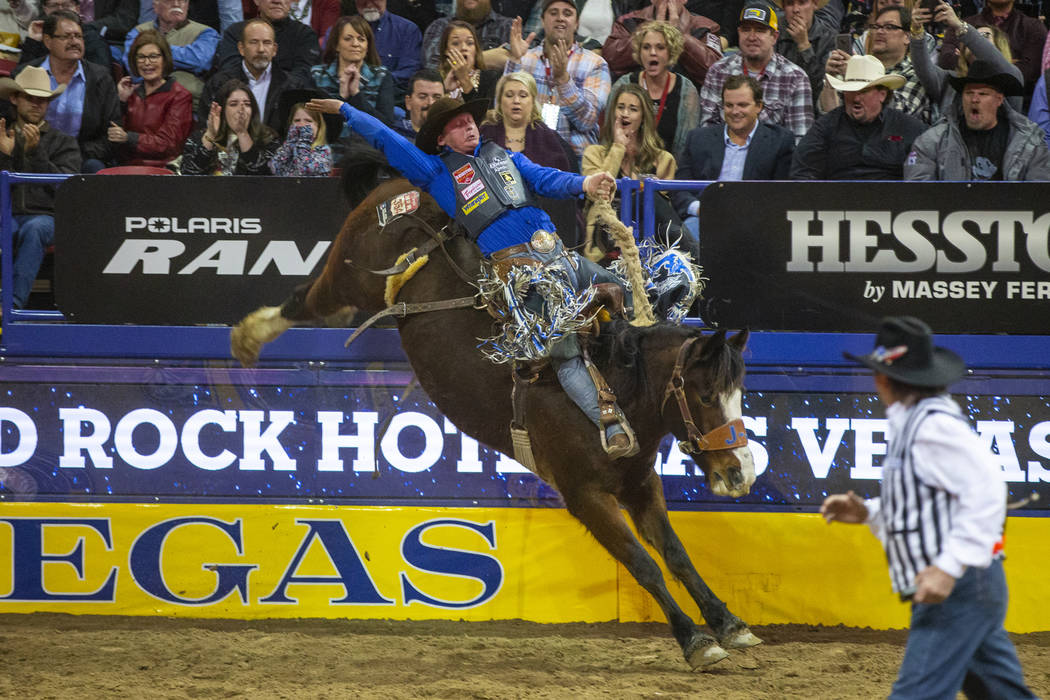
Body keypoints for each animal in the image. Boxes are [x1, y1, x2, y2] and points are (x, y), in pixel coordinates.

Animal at [234, 152, 764, 667]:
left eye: (738, 394)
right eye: (704, 395)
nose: (741, 473)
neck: (613, 388)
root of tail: (401, 185)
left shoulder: (640, 484)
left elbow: (676, 554)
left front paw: (728, 624)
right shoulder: (584, 496)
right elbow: (644, 565)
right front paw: (694, 641)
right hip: (349, 274)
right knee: (306, 300)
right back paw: (249, 336)